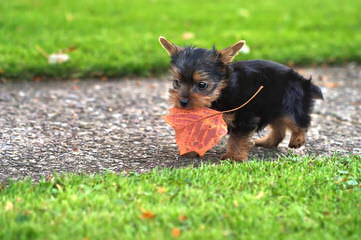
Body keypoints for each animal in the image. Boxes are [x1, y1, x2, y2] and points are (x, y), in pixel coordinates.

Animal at [159, 36, 322, 161]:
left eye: (202, 85)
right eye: (176, 83)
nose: (182, 102)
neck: (222, 92)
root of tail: (302, 80)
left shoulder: (244, 116)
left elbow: (237, 139)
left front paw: (233, 157)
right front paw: (192, 148)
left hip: (290, 103)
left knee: (298, 120)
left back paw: (297, 139)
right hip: (271, 106)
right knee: (279, 127)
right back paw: (268, 142)